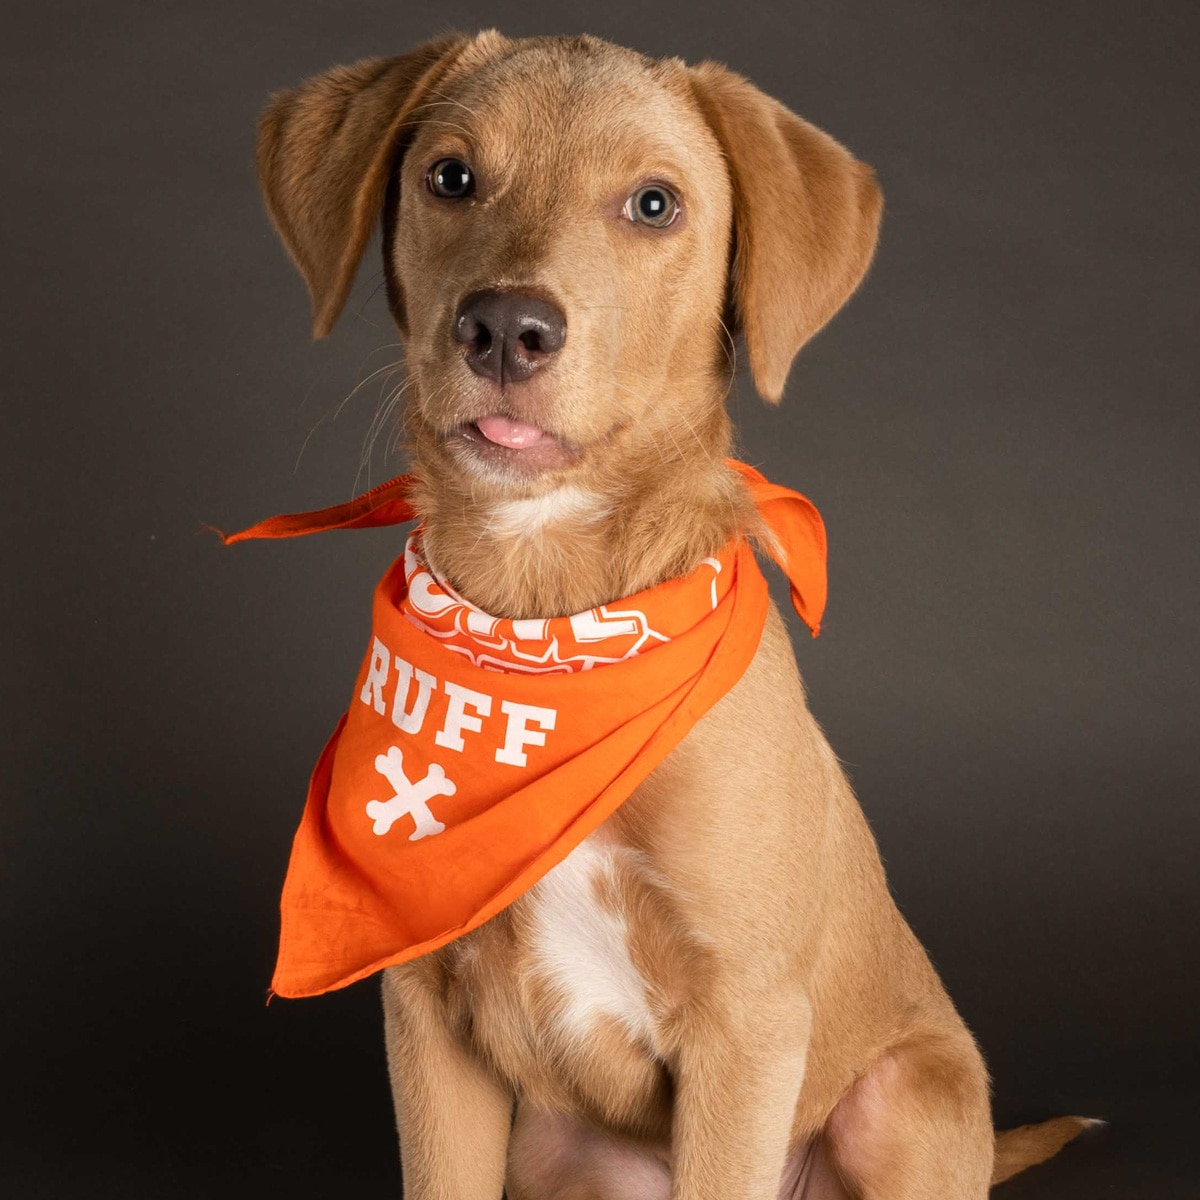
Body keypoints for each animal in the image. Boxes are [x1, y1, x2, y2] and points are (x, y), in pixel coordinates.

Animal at [250, 30, 1089, 1200]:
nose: (505, 328)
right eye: (450, 177)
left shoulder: (746, 1028)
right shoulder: (427, 1019)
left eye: (654, 204)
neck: (544, 624)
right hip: (549, 1147)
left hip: (909, 1099)